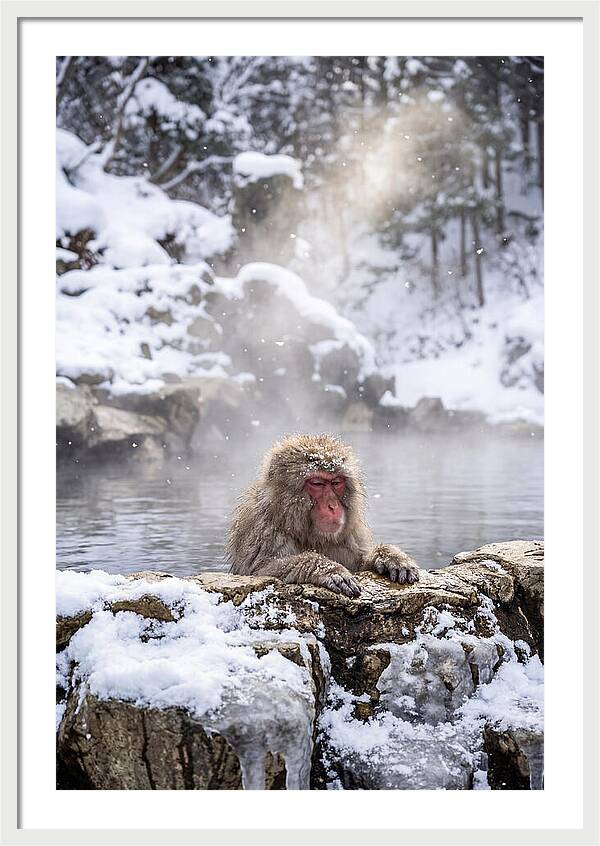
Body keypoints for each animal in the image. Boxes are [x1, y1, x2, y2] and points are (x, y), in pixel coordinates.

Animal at [226, 433, 420, 597]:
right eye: (317, 483)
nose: (332, 506)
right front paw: (328, 569)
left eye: (336, 482)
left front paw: (389, 557)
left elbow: (359, 563)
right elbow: (261, 571)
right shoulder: (262, 529)